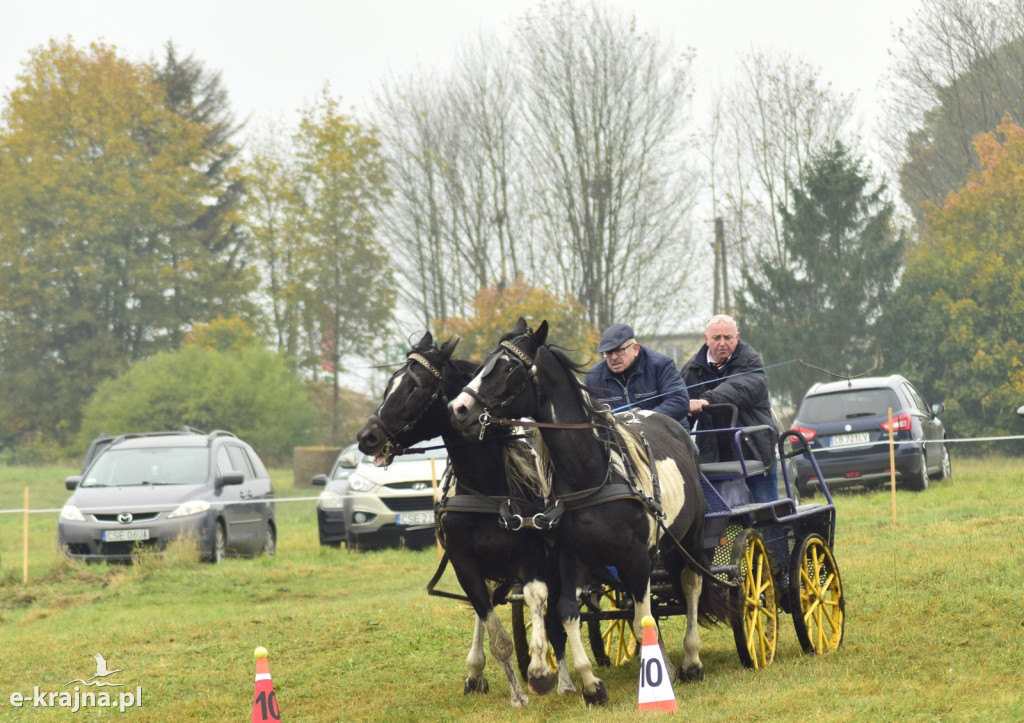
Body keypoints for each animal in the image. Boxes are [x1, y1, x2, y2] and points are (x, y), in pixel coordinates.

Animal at [356, 335, 573, 708]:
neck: (487, 488)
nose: (366, 437)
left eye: (415, 387)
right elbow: (494, 630)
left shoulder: (533, 558)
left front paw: (545, 674)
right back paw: (475, 671)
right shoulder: (464, 564)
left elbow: (542, 607)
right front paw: (516, 693)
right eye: (389, 385)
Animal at [448, 317, 720, 700]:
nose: (458, 408)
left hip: (689, 538)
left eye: (509, 367)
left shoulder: (636, 555)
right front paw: (591, 684)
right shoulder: (570, 557)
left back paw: (692, 661)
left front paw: (657, 675)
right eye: (483, 363)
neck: (590, 474)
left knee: (692, 585)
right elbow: (567, 612)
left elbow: (643, 615)